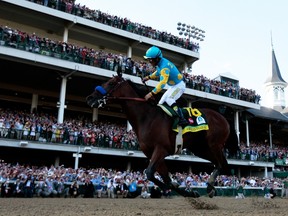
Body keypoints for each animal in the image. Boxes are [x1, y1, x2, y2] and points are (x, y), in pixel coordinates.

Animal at [86, 72, 238, 197]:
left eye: (111, 83)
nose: (89, 98)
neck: (146, 117)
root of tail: (223, 117)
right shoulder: (151, 152)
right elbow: (164, 177)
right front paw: (187, 191)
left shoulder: (160, 149)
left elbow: (149, 173)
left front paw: (171, 188)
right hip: (200, 148)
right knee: (218, 163)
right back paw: (210, 187)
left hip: (214, 144)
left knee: (222, 163)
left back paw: (210, 186)